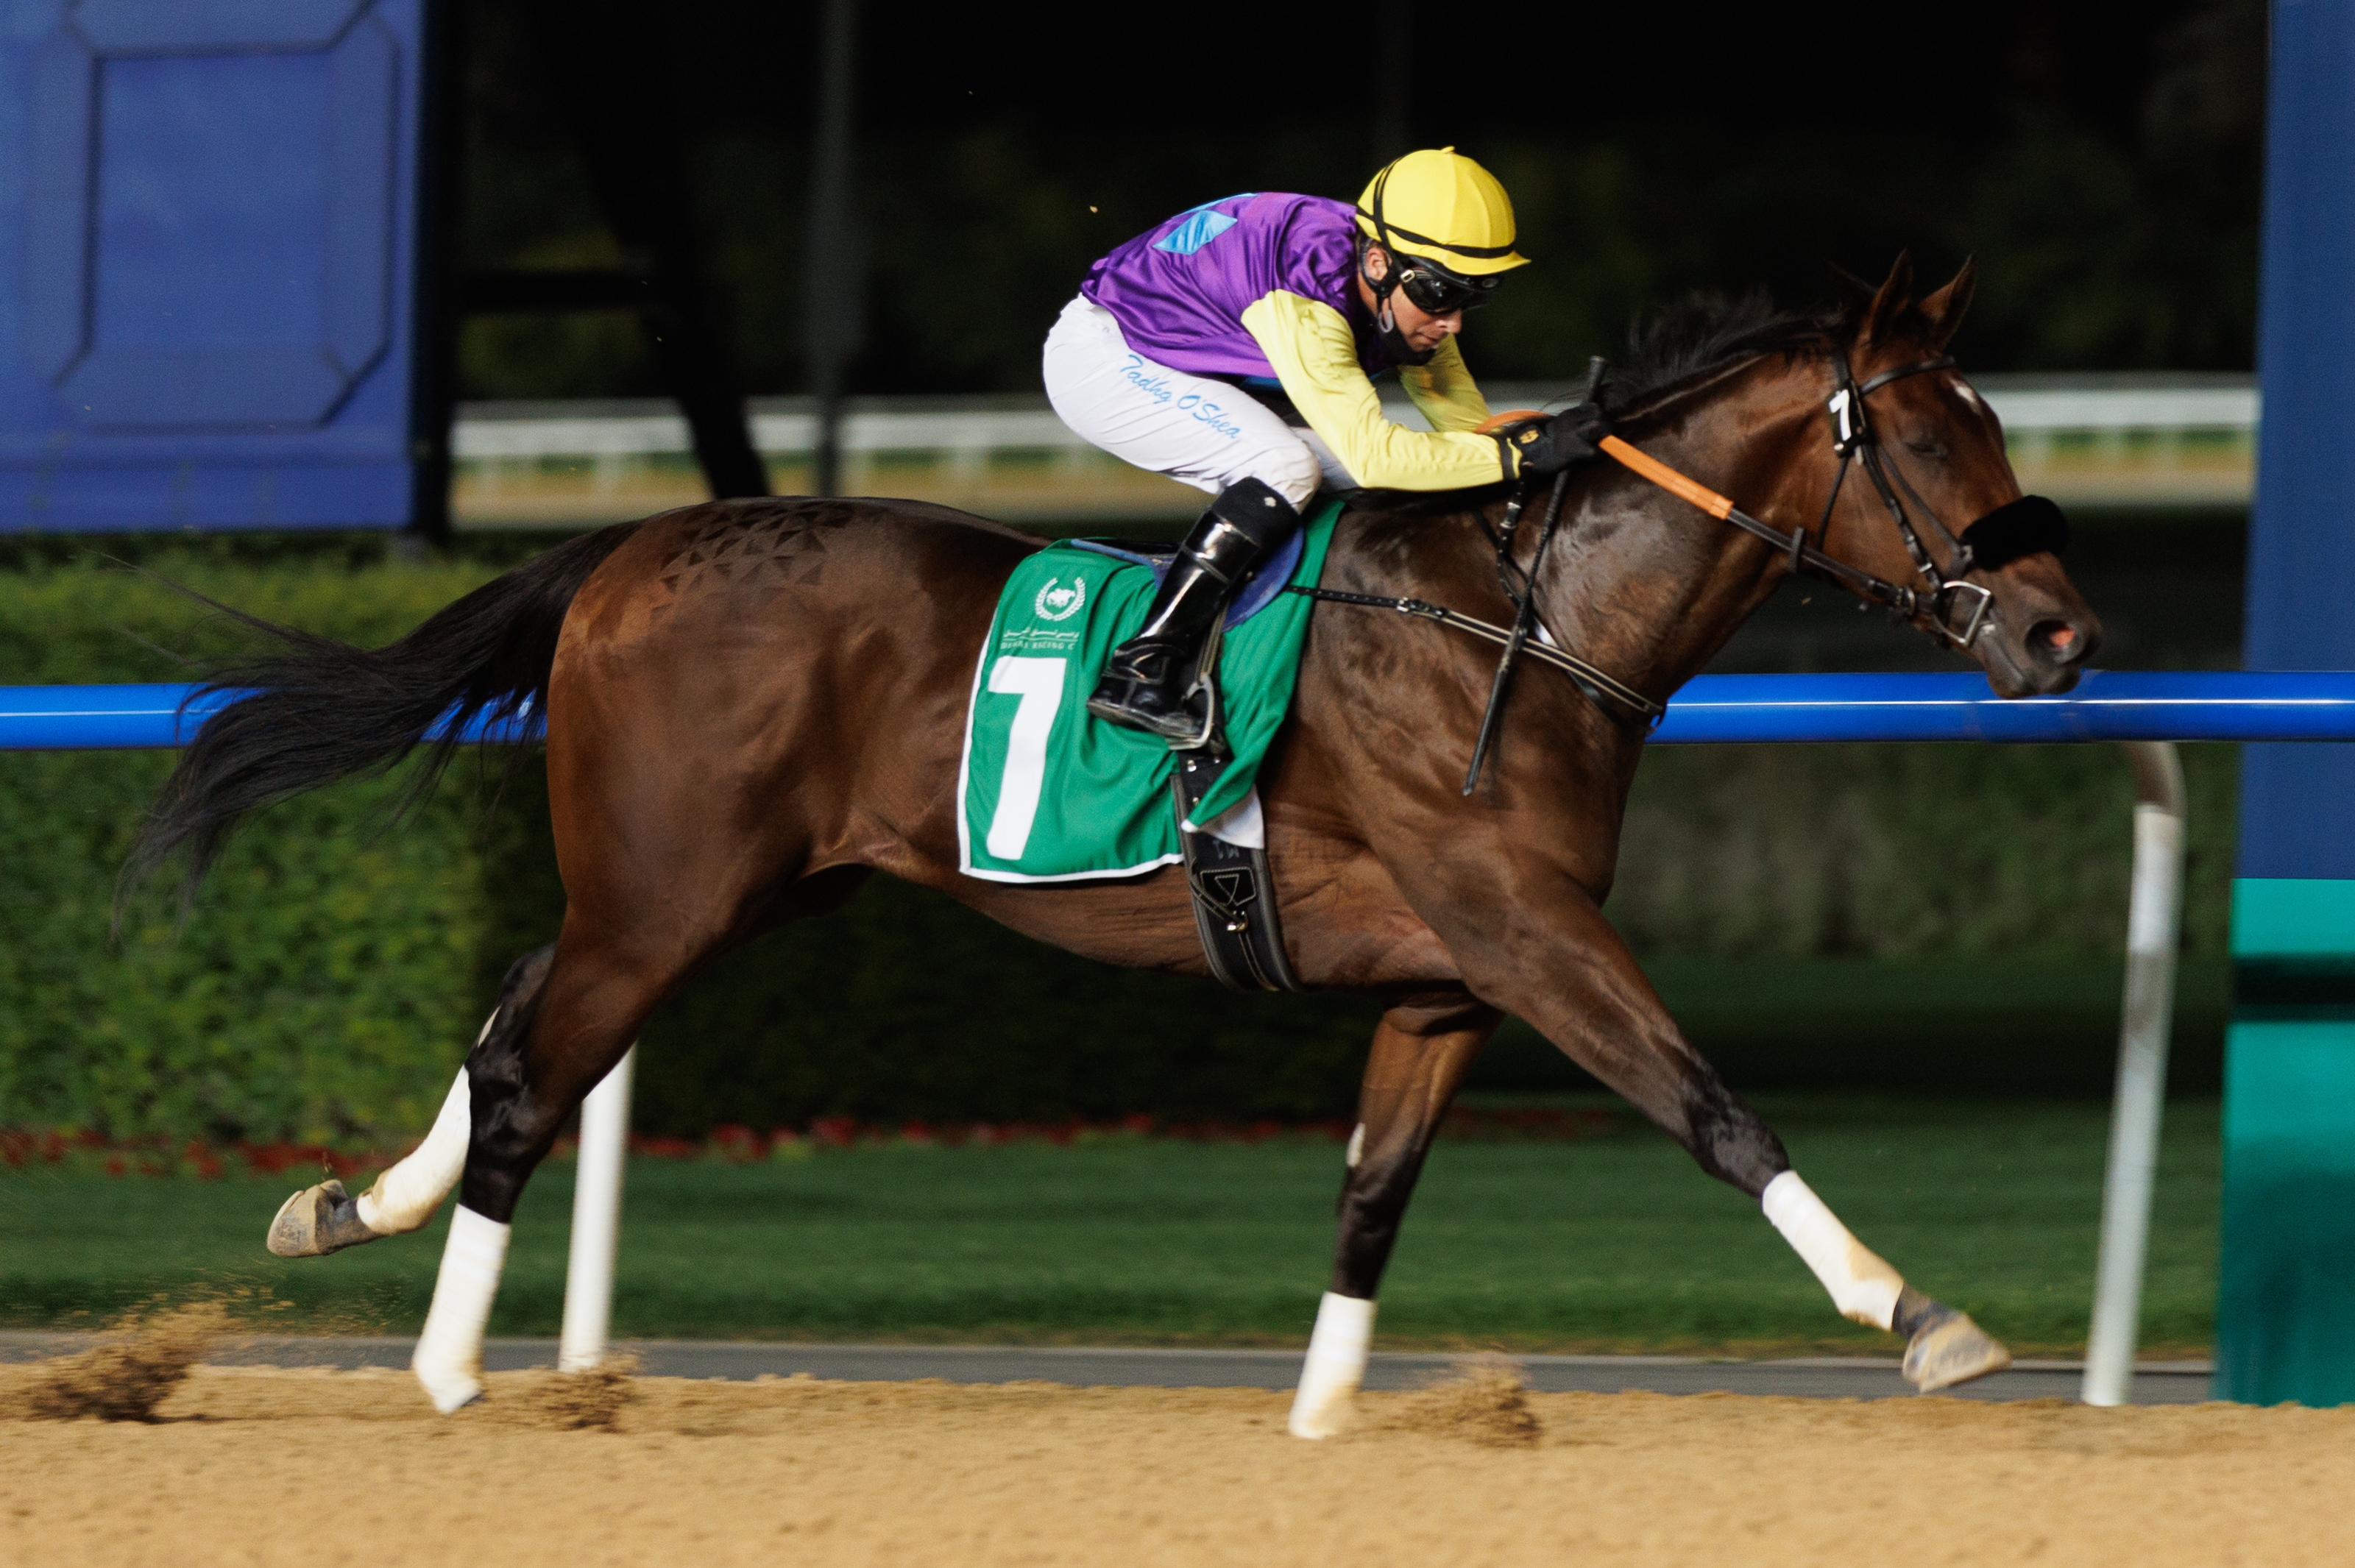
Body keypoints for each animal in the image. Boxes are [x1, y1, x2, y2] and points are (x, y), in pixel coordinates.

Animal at [131, 255, 2098, 1434]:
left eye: (1994, 419)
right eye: (1925, 434)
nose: (2061, 634)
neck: (1524, 622)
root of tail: (629, 548)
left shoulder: (1451, 977)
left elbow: (1373, 1191)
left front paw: (1319, 1416)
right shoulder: (1525, 929)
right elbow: (1712, 1105)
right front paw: (1918, 1311)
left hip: (715, 886)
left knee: (509, 1022)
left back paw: (345, 1207)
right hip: (669, 890)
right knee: (539, 1069)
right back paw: (455, 1371)